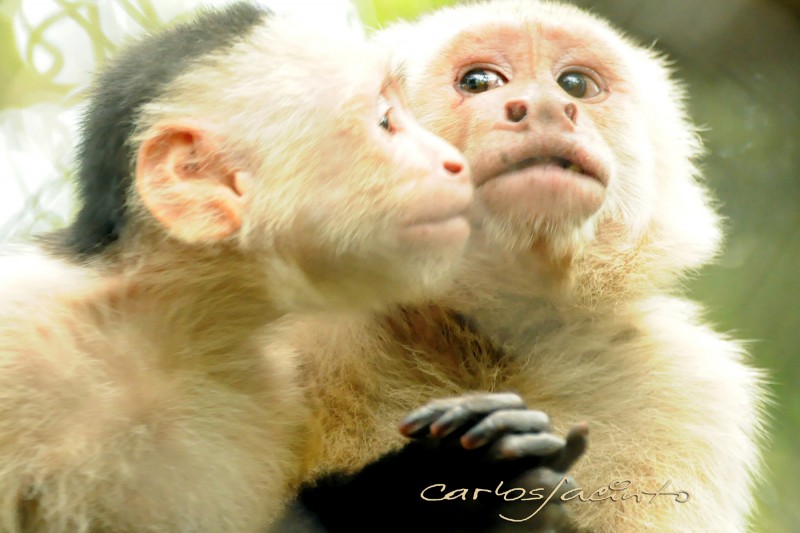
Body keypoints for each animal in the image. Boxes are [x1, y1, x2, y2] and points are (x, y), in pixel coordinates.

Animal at [274, 1, 764, 532]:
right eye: (479, 81)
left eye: (574, 85)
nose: (547, 106)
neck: (479, 338)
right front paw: (451, 479)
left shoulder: (688, 387)